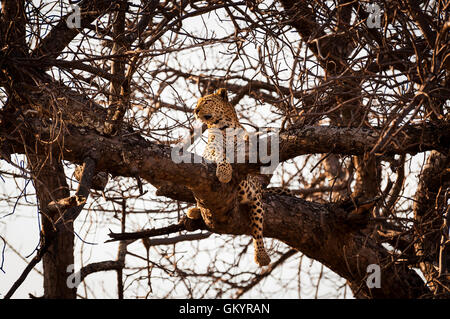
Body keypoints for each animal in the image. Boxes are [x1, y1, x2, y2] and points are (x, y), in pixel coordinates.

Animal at [185, 88, 276, 268]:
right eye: (197, 103)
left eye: (207, 101)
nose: (195, 110)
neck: (224, 127)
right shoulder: (211, 150)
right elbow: (221, 154)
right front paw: (225, 172)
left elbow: (258, 229)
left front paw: (261, 255)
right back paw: (195, 210)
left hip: (255, 199)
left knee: (257, 225)